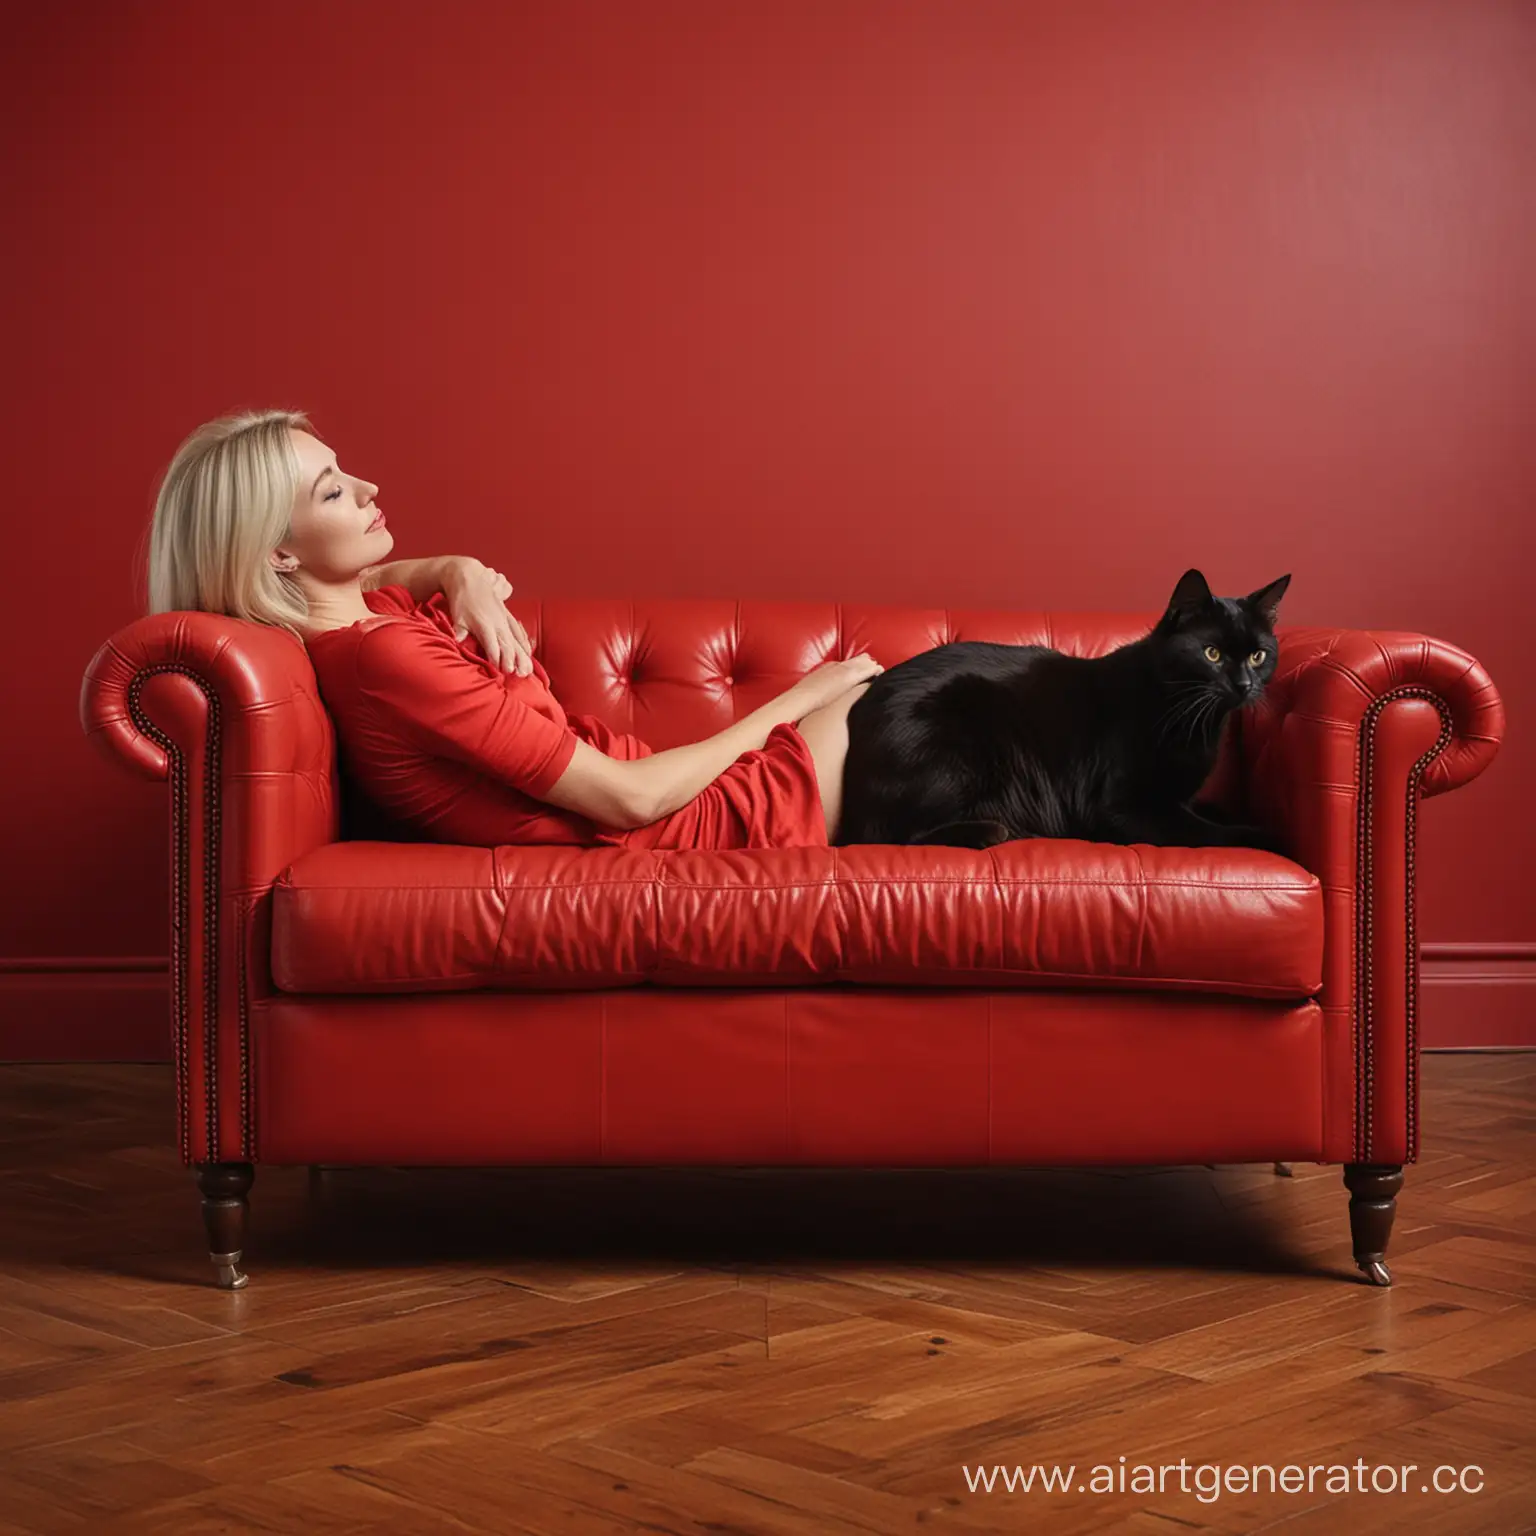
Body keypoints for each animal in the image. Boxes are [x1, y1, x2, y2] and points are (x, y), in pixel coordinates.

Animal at [835, 568, 1290, 854]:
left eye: (1257, 656)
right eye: (1211, 654)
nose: (1243, 685)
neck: (1193, 718)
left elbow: (1210, 811)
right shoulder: (1124, 807)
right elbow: (1211, 831)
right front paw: (1268, 835)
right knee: (886, 836)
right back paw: (990, 830)